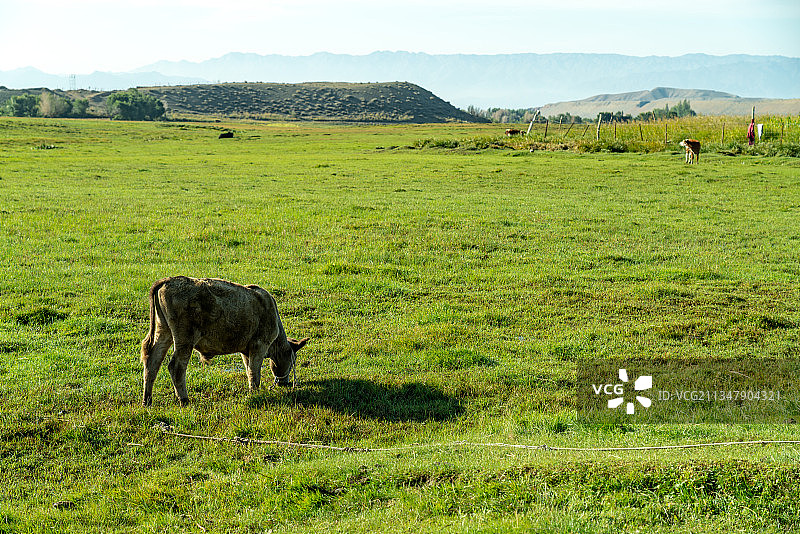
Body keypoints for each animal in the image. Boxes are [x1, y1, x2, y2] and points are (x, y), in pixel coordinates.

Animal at [140, 276, 308, 406]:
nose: (284, 382)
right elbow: (254, 372)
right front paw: (255, 393)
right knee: (176, 367)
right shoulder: (259, 346)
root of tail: (168, 280)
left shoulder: (246, 351)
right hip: (184, 339)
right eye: (292, 360)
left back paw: (147, 400)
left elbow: (249, 370)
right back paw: (184, 399)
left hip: (163, 332)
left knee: (152, 362)